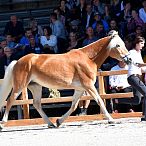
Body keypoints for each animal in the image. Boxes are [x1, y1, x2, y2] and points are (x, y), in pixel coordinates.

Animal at [0, 30, 131, 129]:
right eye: (118, 45)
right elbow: (99, 100)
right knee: (10, 100)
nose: (129, 59)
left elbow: (74, 105)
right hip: (20, 86)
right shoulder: (89, 86)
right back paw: (2, 124)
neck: (88, 58)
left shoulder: (80, 89)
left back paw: (51, 124)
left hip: (36, 86)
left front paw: (59, 121)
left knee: (36, 104)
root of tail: (18, 61)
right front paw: (111, 120)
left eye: (124, 44)